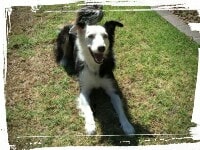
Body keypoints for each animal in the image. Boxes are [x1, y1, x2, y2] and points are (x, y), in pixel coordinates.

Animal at [54, 6, 134, 135]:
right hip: (65, 37)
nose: (101, 48)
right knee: (64, 51)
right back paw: (64, 61)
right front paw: (90, 125)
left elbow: (120, 109)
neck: (95, 66)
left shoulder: (112, 89)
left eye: (105, 36)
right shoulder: (84, 90)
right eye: (90, 36)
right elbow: (88, 108)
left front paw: (127, 125)